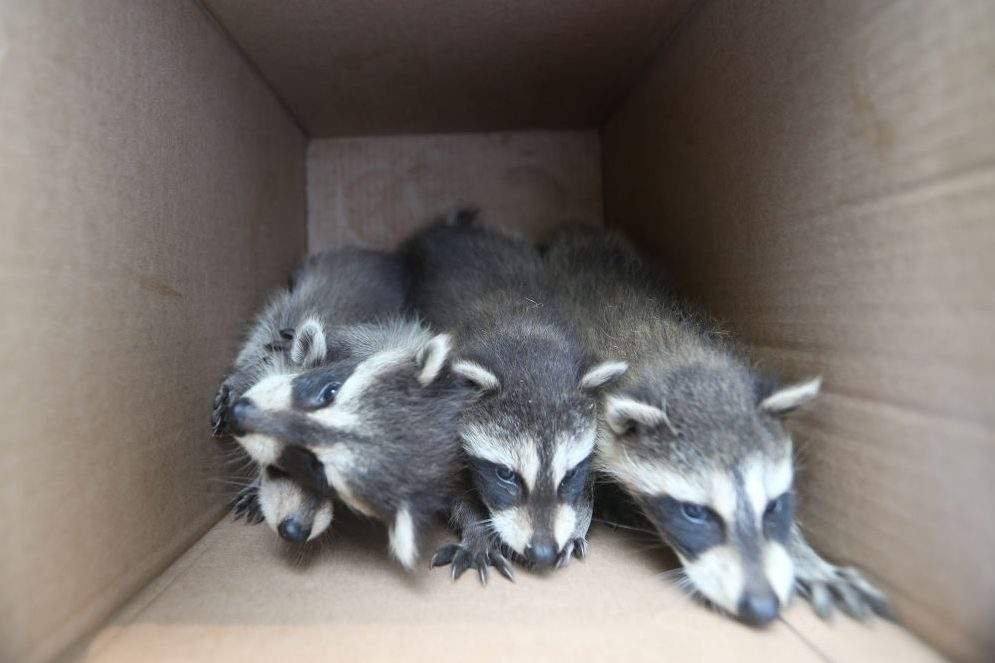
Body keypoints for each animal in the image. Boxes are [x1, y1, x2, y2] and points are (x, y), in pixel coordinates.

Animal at [403, 214, 626, 581]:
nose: (544, 553)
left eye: (570, 476)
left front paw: (578, 523)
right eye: (506, 475)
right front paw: (477, 530)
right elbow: (451, 486)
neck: (526, 332)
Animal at [545, 226, 889, 625]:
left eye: (773, 506)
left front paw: (802, 554)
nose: (762, 607)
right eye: (694, 512)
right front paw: (579, 512)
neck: (679, 360)